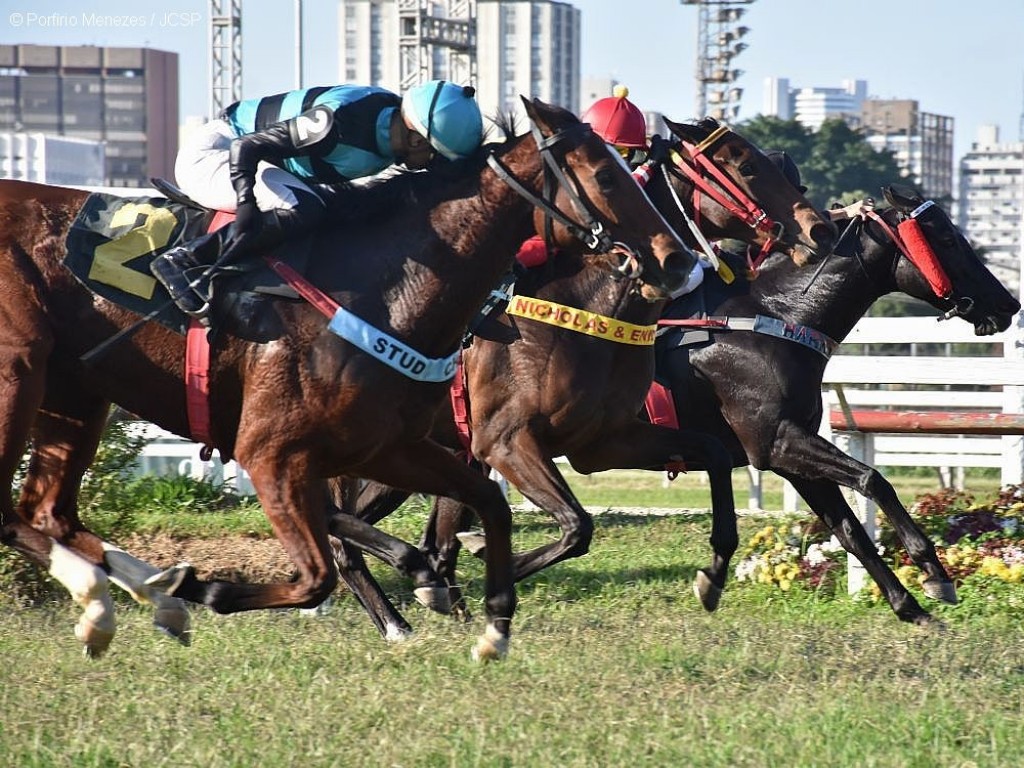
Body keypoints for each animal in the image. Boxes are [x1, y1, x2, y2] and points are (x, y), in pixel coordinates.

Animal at [0, 99, 692, 659]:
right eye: (607, 175)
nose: (677, 259)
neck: (383, 290)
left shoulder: (394, 445)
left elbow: (489, 505)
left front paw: (491, 621)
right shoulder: (273, 453)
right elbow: (316, 577)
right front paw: (208, 588)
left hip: (75, 397)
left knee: (44, 513)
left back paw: (136, 594)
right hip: (19, 372)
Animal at [323, 117, 835, 638]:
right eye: (747, 165)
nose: (822, 227)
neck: (587, 306)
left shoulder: (605, 440)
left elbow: (709, 455)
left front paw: (711, 576)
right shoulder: (506, 441)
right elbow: (576, 526)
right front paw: (475, 566)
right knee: (336, 525)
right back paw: (398, 607)